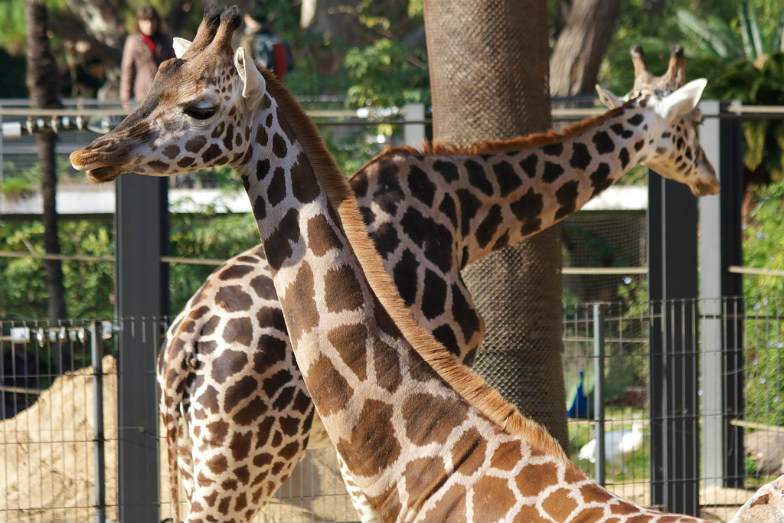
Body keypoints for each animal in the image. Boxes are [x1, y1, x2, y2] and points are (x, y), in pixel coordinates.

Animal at [70, 6, 720, 520]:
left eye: (198, 101)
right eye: (691, 125)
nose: (710, 179)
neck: (467, 209)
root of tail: (184, 348)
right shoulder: (445, 356)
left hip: (196, 453)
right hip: (241, 459)